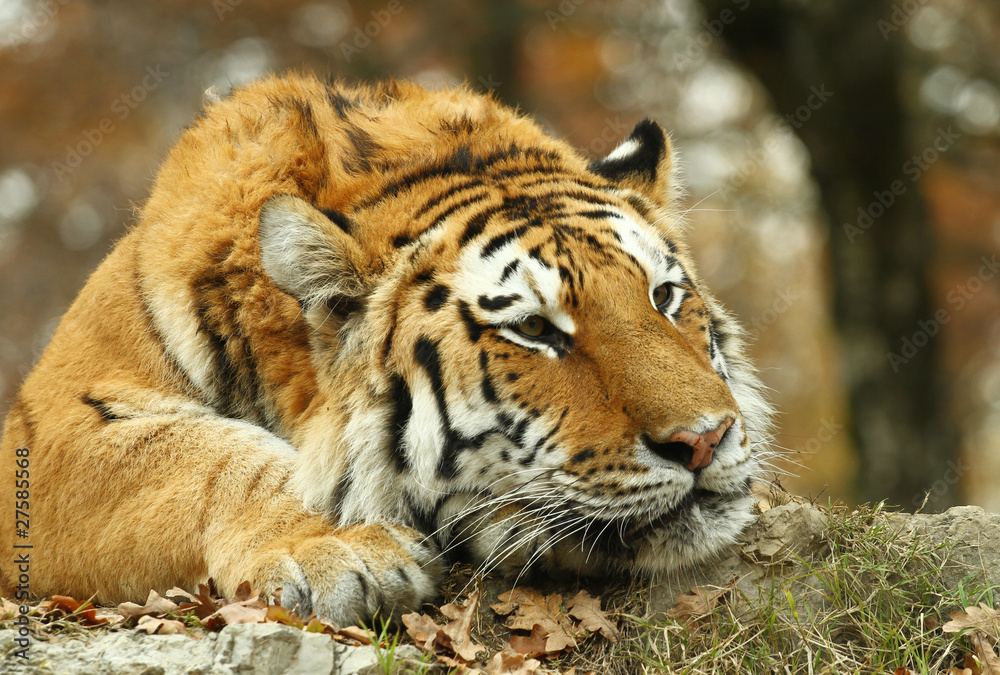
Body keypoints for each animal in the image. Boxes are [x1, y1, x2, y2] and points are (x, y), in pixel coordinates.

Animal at [0, 73, 771, 625]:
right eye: (535, 330)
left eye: (663, 295)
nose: (706, 440)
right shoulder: (53, 427)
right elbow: (204, 458)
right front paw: (339, 549)